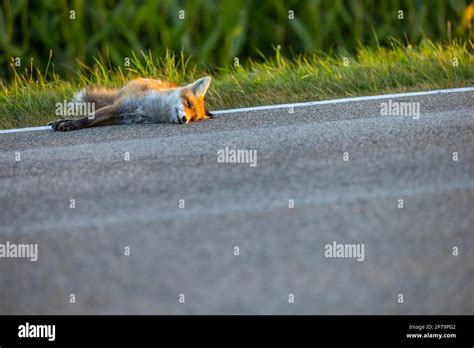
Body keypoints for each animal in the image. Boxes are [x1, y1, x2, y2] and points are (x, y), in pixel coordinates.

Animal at [48, 76, 213, 132]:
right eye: (189, 103)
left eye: (193, 118)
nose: (185, 120)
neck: (151, 109)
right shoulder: (115, 109)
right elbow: (87, 119)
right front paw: (71, 125)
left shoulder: (120, 119)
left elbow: (91, 120)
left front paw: (67, 123)